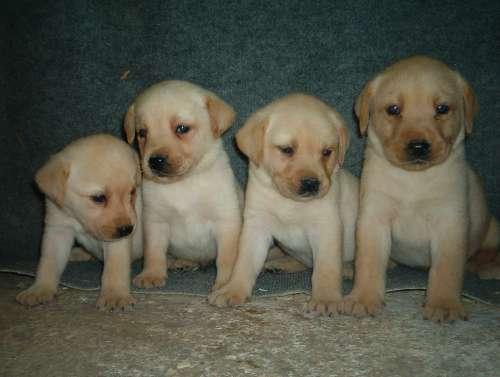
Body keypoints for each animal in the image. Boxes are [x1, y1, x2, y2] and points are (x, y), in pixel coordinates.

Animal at [17, 134, 143, 308]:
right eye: (99, 198)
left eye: (132, 192)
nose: (127, 229)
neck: (79, 220)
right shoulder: (57, 230)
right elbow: (48, 263)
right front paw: (40, 289)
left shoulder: (117, 242)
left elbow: (114, 268)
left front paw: (114, 295)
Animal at [124, 80, 242, 290]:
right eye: (142, 133)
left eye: (181, 128)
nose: (155, 161)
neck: (183, 183)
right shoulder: (155, 222)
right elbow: (154, 252)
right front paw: (151, 274)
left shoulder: (226, 220)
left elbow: (227, 258)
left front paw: (226, 282)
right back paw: (180, 262)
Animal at [208, 94, 360, 314]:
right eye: (287, 150)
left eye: (327, 152)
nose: (312, 184)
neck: (288, 202)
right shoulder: (256, 225)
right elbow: (244, 263)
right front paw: (232, 290)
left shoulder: (327, 227)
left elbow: (326, 269)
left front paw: (326, 298)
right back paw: (279, 263)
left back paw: (348, 269)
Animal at [342, 57, 498, 322]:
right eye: (393, 109)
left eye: (442, 109)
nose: (418, 146)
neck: (413, 180)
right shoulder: (374, 218)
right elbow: (369, 263)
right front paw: (364, 297)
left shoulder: (450, 222)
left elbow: (446, 269)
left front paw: (443, 303)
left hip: (491, 228)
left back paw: (486, 265)